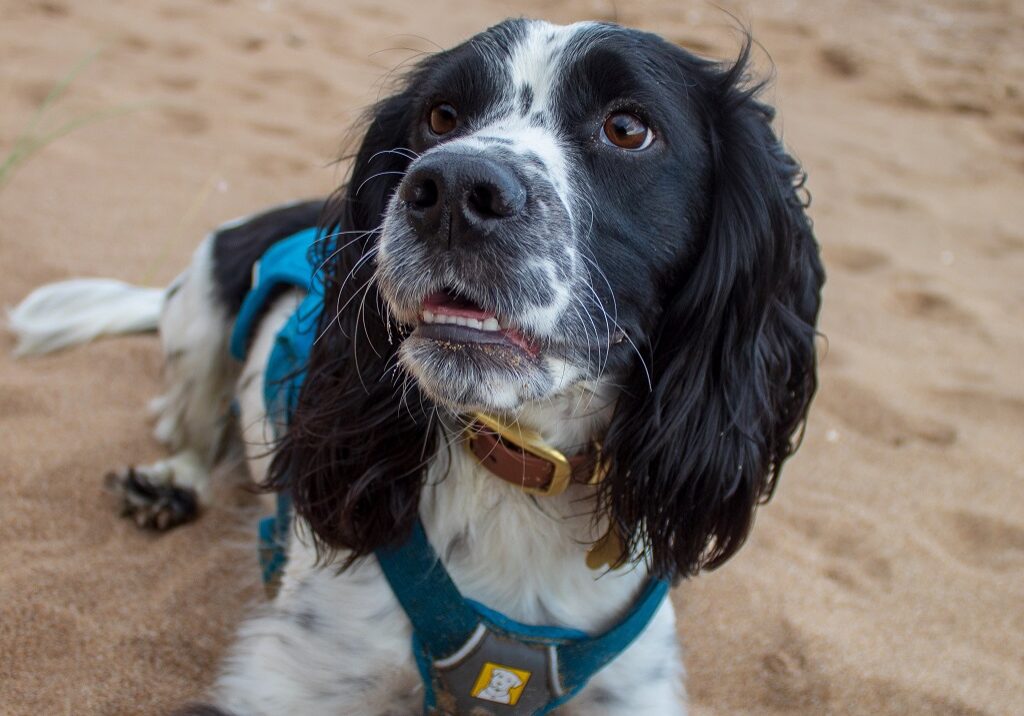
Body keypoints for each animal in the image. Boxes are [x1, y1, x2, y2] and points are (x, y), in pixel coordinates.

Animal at [8, 18, 823, 716]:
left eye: (628, 128)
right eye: (440, 116)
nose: (454, 189)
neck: (516, 472)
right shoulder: (292, 684)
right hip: (203, 308)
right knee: (188, 422)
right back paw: (168, 482)